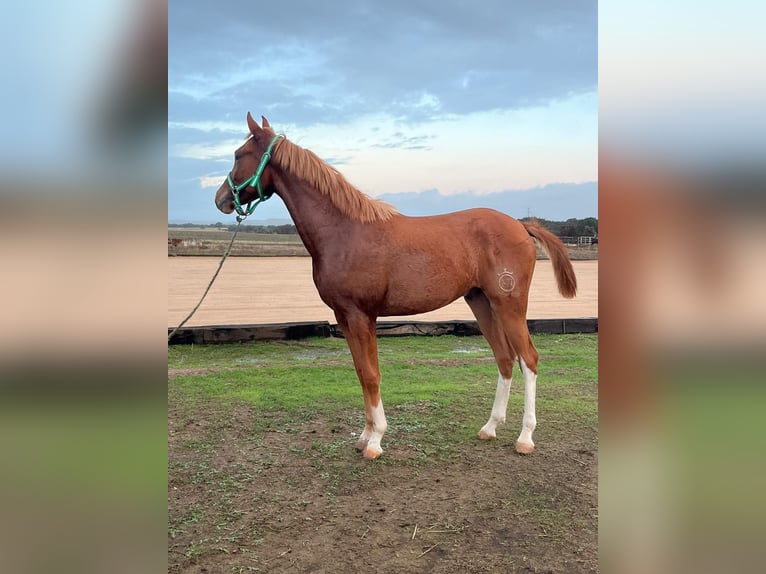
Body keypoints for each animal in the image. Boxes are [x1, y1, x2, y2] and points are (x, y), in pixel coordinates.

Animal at [215, 113, 577, 459]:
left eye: (239, 154)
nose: (220, 199)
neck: (344, 231)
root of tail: (520, 224)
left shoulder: (362, 316)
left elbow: (371, 374)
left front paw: (375, 441)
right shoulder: (344, 317)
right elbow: (361, 371)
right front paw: (364, 436)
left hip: (509, 304)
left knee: (528, 358)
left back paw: (525, 438)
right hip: (481, 302)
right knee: (504, 358)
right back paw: (490, 427)